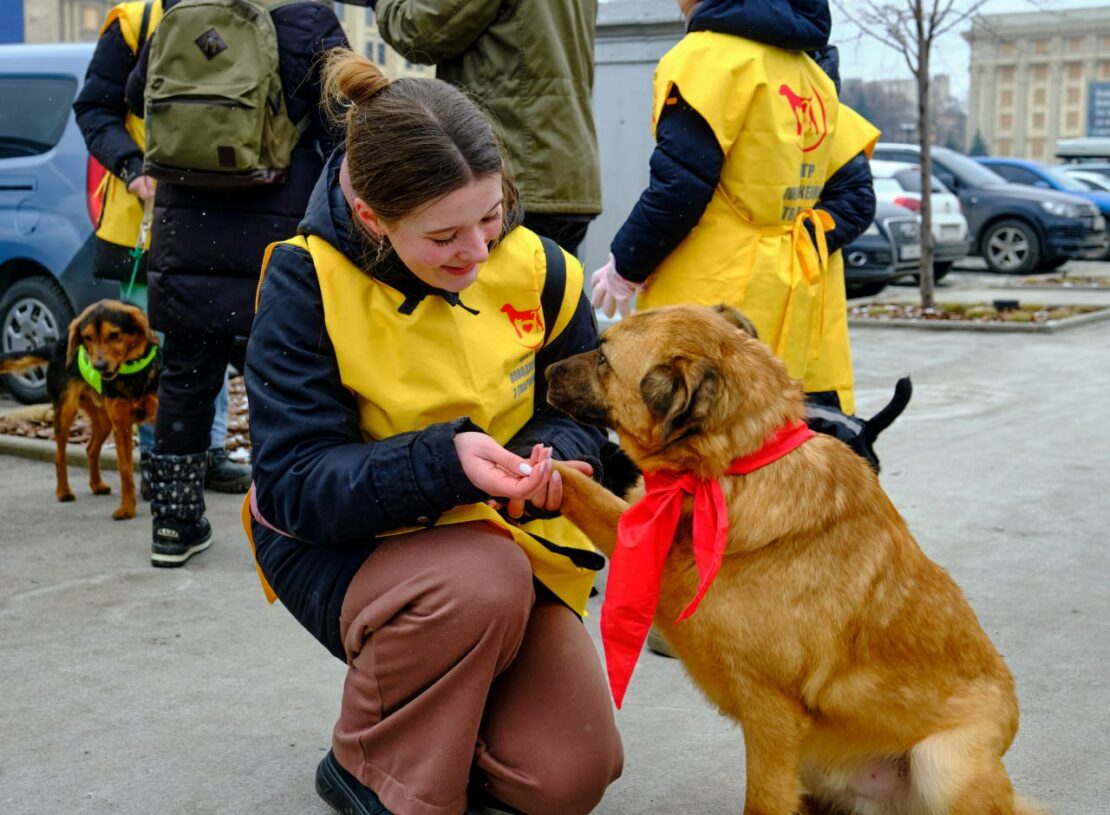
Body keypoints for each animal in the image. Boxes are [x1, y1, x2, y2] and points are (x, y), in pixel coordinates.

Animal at [546, 304, 1038, 815]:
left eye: (604, 356)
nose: (543, 370)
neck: (732, 471)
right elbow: (574, 484)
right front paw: (529, 469)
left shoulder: (770, 710)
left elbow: (761, 800)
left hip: (942, 767)